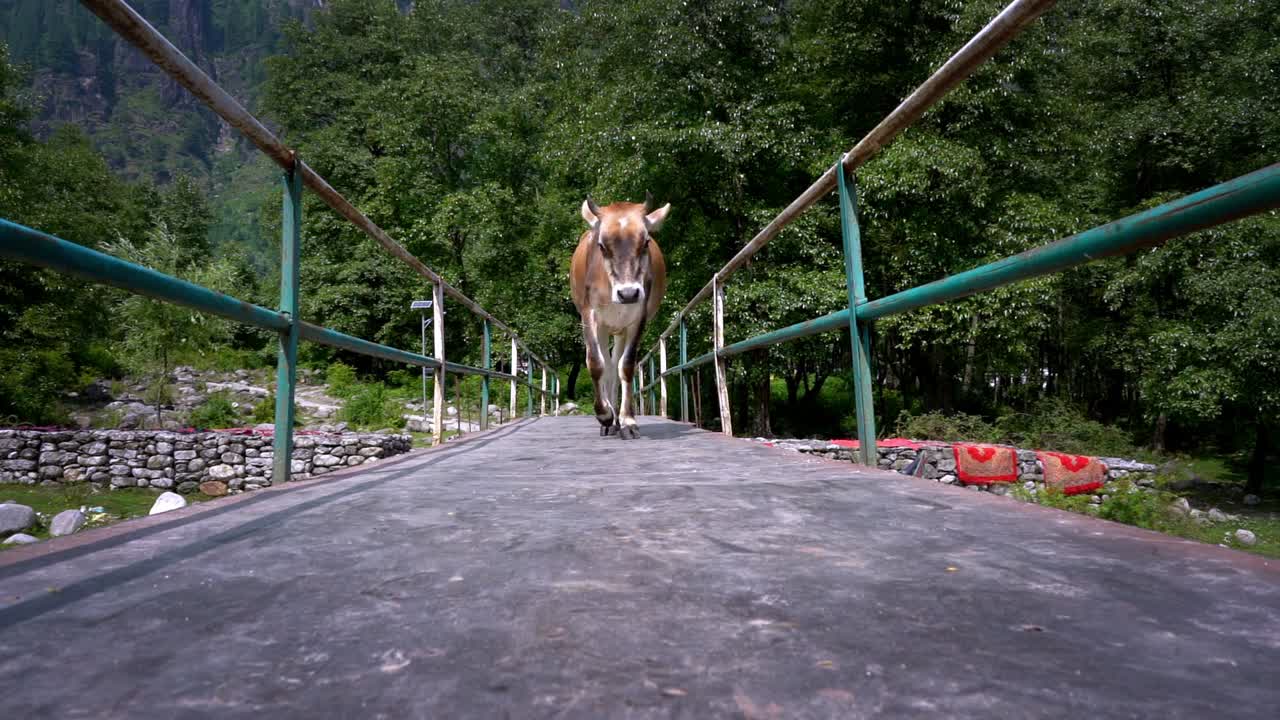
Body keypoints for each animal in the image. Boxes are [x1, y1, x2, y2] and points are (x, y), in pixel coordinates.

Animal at [570, 194, 669, 439]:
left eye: (645, 242)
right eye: (602, 245)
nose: (628, 293)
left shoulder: (638, 317)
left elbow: (626, 366)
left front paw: (628, 421)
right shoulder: (589, 314)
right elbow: (596, 364)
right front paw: (604, 415)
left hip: (620, 329)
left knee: (614, 367)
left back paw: (616, 421)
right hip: (605, 327)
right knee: (606, 364)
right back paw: (608, 420)